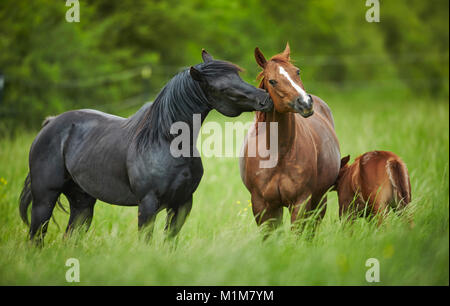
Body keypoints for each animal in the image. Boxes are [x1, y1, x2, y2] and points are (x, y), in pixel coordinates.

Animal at [19, 50, 272, 246]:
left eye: (238, 76)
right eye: (223, 88)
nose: (265, 98)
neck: (166, 142)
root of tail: (52, 123)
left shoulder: (182, 204)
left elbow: (170, 242)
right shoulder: (148, 205)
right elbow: (146, 243)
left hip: (82, 203)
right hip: (44, 199)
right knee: (36, 238)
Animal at [239, 43, 342, 230]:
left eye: (297, 71)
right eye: (272, 81)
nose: (305, 103)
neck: (278, 154)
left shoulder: (301, 202)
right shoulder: (262, 206)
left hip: (319, 200)